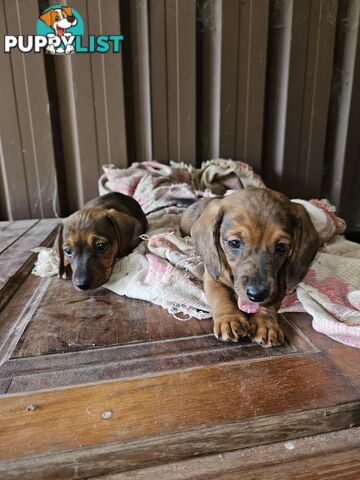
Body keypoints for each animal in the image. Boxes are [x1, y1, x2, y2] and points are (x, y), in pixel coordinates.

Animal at [181, 188, 320, 348]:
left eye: (281, 247)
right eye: (234, 242)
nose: (257, 295)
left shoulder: (278, 284)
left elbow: (269, 303)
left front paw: (266, 324)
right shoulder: (213, 276)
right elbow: (220, 295)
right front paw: (229, 319)